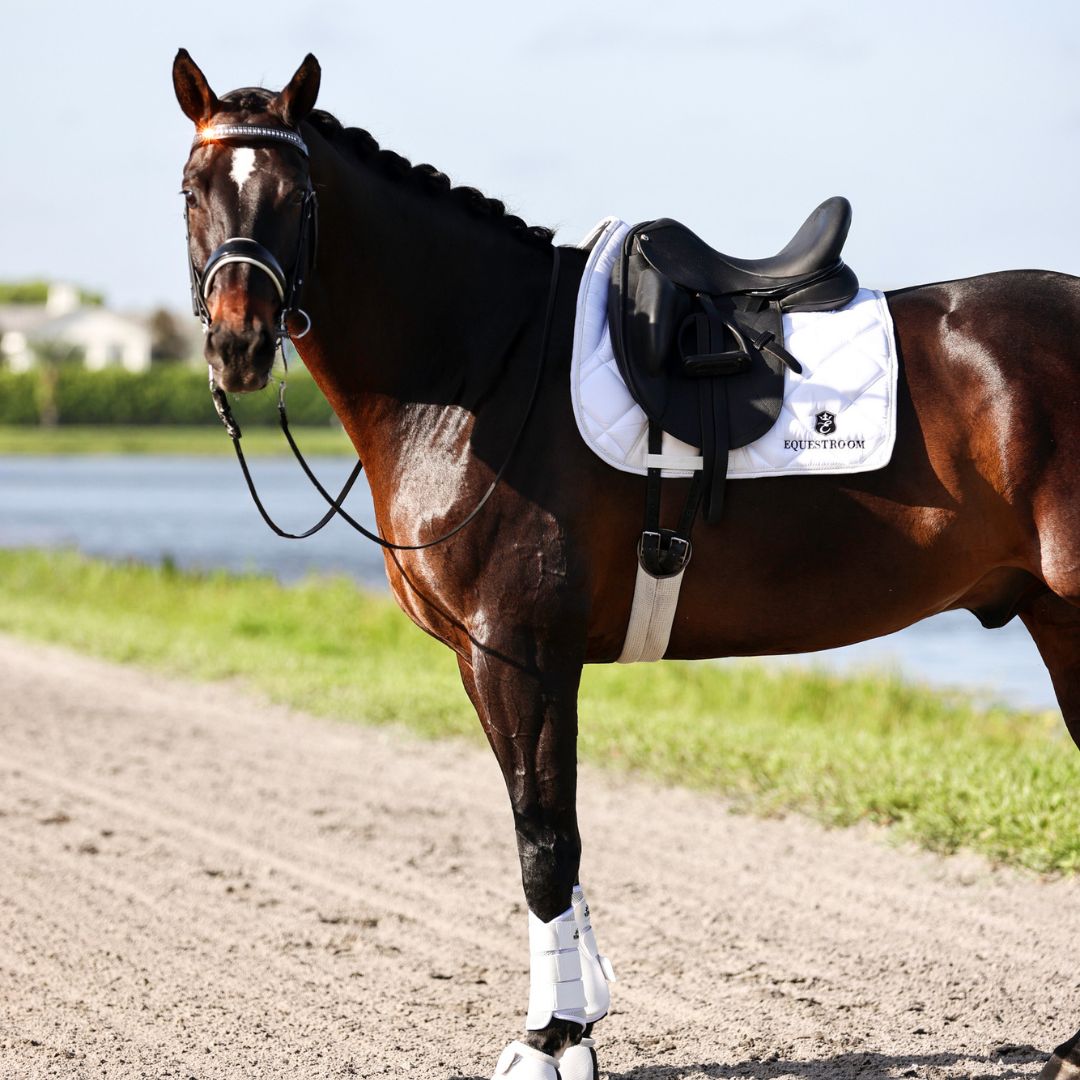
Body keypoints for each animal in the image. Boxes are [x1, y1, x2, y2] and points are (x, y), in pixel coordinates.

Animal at [172, 49, 1080, 1080]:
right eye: (193, 189)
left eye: (298, 195)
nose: (239, 344)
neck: (483, 372)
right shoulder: (498, 662)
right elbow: (550, 834)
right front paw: (577, 1014)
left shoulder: (518, 653)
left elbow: (543, 843)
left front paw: (552, 1037)